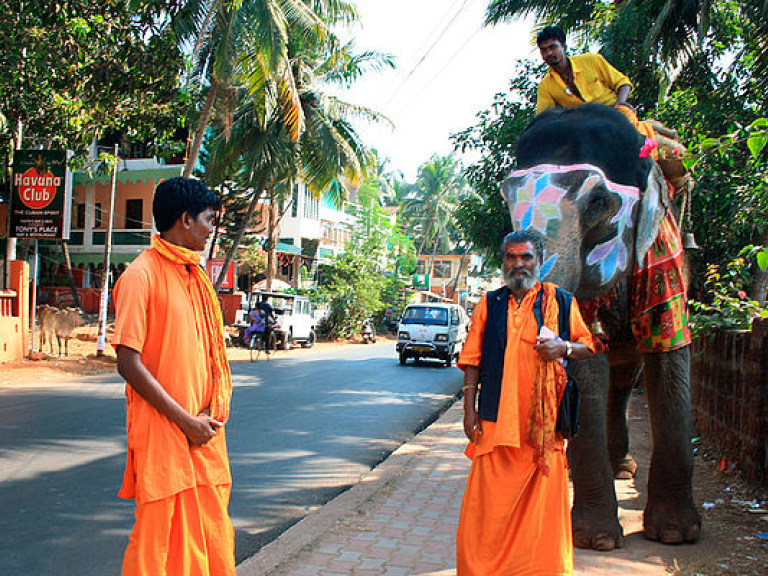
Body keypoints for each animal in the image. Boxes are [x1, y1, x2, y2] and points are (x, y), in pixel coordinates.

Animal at [498, 103, 704, 548]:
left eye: (597, 202)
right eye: (506, 197)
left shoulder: (662, 257)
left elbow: (668, 351)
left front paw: (676, 534)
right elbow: (587, 360)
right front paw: (597, 540)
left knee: (627, 377)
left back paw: (623, 468)